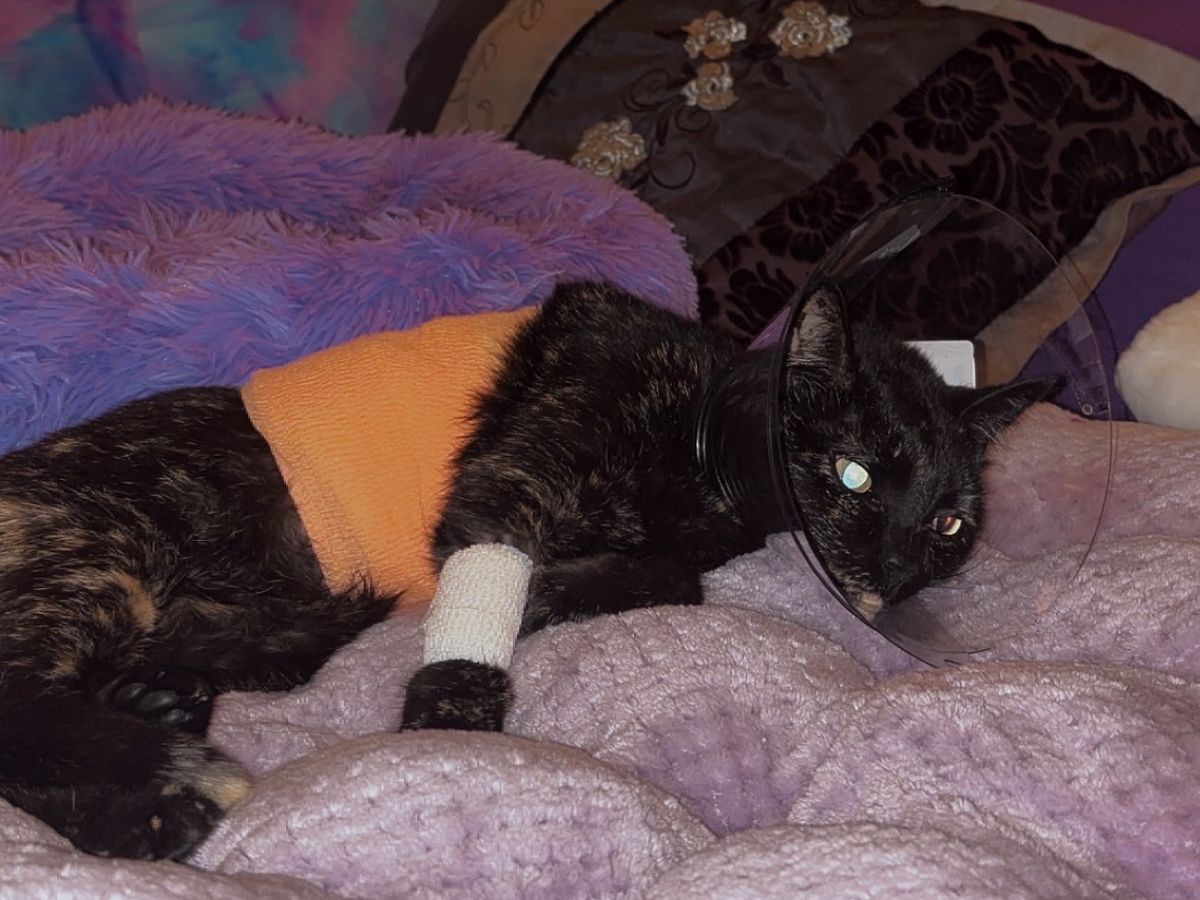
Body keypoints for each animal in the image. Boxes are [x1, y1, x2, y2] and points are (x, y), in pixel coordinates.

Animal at [0, 281, 1054, 861]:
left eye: (951, 523)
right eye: (854, 473)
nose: (894, 569)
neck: (700, 444)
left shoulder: (673, 551)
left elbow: (668, 579)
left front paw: (560, 594)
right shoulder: (508, 489)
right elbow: (489, 602)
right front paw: (449, 726)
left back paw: (155, 735)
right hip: (104, 555)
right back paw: (160, 793)